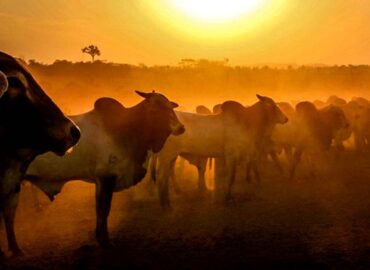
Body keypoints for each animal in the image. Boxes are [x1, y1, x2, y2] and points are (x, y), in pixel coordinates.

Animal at [25, 92, 184, 248]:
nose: (181, 127)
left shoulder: (100, 180)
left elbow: (99, 209)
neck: (128, 129)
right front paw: (105, 240)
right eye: (156, 108)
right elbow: (104, 209)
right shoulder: (106, 177)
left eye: (170, 107)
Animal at [152, 95, 288, 209]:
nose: (286, 118)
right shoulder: (231, 155)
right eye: (274, 105)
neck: (247, 122)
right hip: (166, 156)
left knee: (167, 176)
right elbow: (231, 177)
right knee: (161, 178)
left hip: (171, 157)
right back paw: (165, 205)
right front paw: (227, 198)